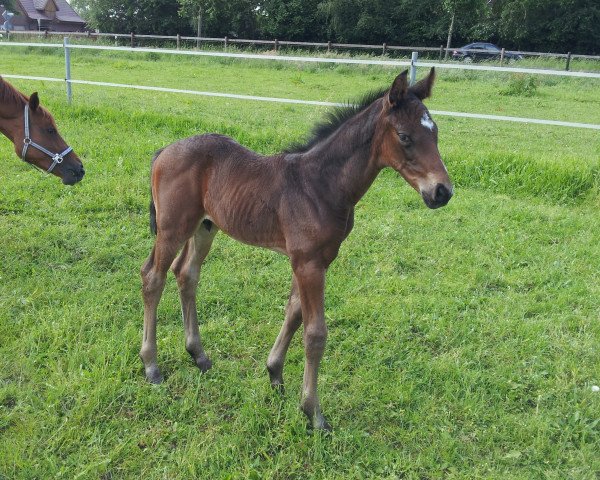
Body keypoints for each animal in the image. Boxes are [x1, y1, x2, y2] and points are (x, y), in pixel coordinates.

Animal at [139, 66, 450, 428]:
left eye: (435, 132)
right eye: (404, 136)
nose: (442, 192)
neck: (321, 184)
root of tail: (163, 151)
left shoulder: (316, 260)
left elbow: (294, 312)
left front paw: (275, 375)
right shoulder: (308, 262)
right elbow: (315, 333)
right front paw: (313, 412)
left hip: (204, 226)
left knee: (186, 274)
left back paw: (199, 355)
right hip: (172, 227)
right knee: (153, 277)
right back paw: (151, 366)